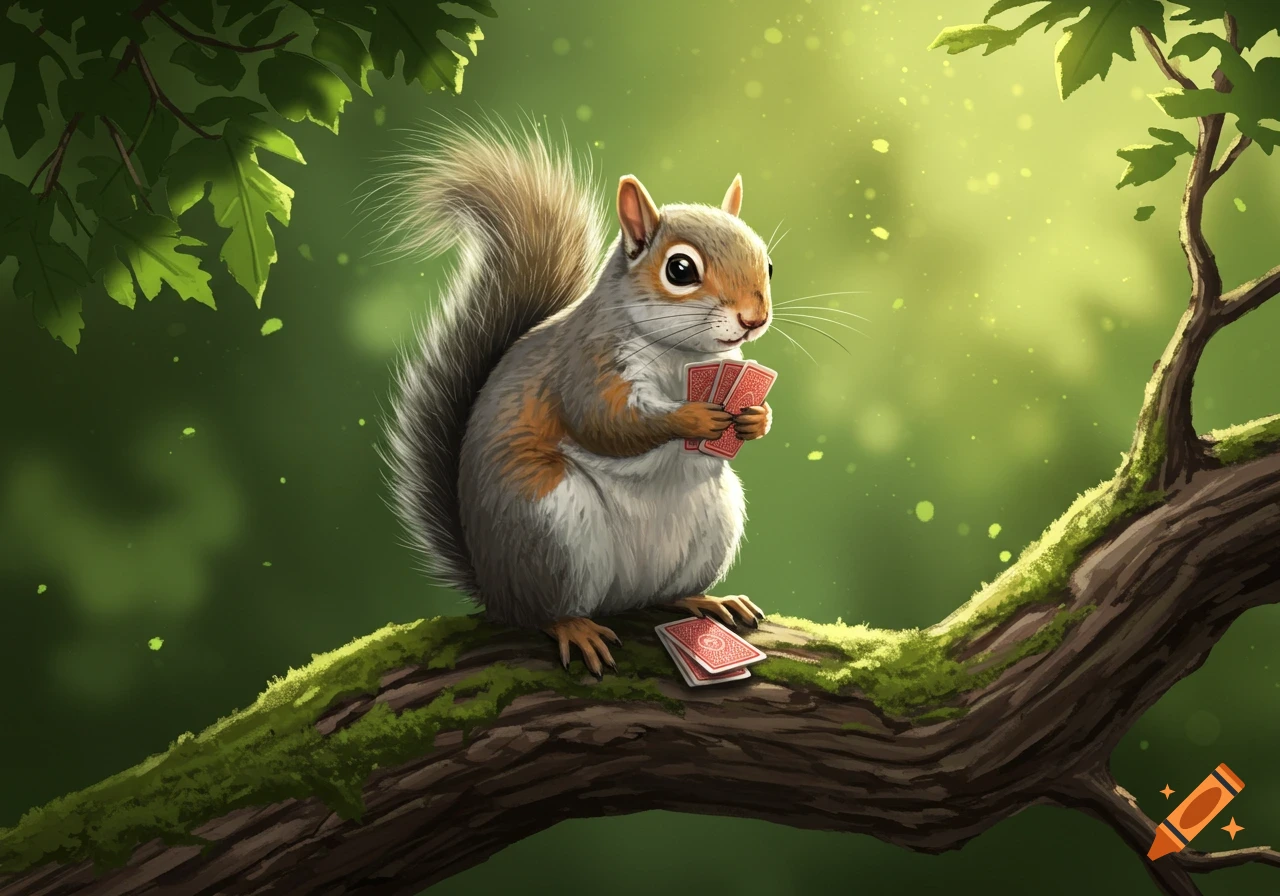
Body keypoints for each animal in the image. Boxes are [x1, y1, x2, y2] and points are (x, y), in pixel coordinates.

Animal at [384, 121, 774, 676]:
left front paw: (755, 417)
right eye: (680, 269)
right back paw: (573, 627)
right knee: (543, 612)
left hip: (714, 520)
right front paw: (695, 418)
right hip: (549, 524)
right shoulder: (587, 365)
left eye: (768, 264)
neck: (682, 355)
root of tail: (495, 587)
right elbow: (604, 422)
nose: (753, 319)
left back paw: (706, 600)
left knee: (666, 594)